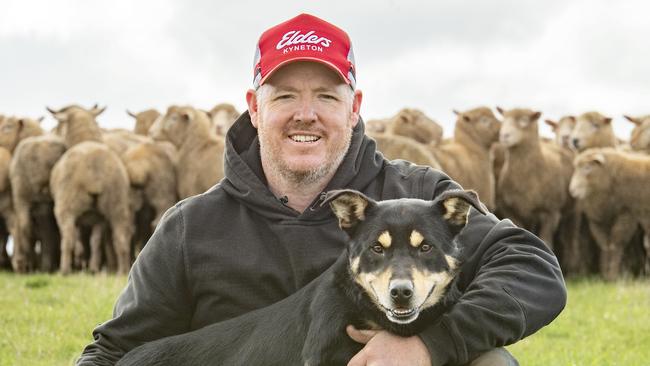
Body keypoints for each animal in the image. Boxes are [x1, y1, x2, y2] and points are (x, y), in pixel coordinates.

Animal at [47, 107, 132, 274]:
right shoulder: (99, 218)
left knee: (68, 237)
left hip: (66, 206)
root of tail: (94, 172)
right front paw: (93, 267)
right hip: (117, 205)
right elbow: (95, 241)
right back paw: (122, 270)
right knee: (120, 239)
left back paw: (64, 270)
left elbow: (80, 238)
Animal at [494, 106, 568, 252]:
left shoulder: (550, 212)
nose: (504, 135)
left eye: (524, 120)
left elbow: (546, 241)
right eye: (503, 118)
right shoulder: (510, 210)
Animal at [568, 147, 648, 278]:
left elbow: (616, 243)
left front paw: (613, 275)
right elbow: (605, 244)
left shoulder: (627, 213)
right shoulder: (598, 220)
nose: (572, 190)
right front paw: (605, 272)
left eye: (587, 167)